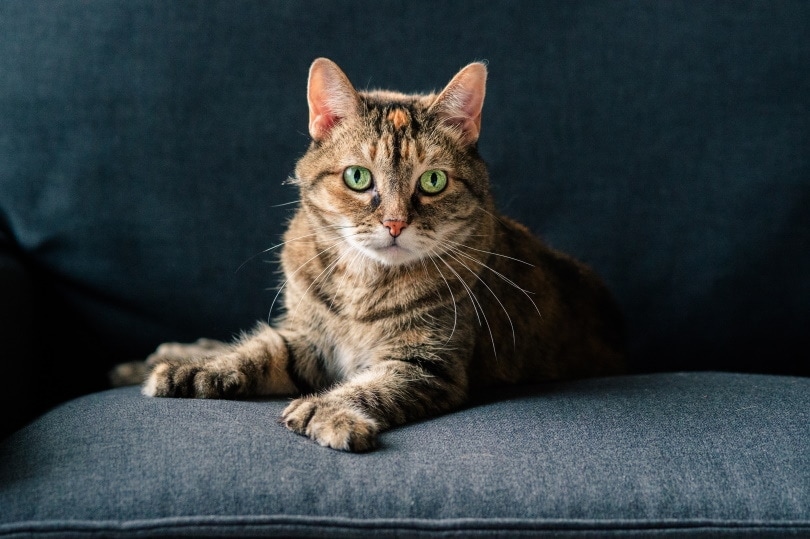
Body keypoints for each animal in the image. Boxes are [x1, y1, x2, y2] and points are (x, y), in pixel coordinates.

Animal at [113, 58, 620, 452]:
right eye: (358, 177)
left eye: (433, 180)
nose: (394, 223)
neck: (364, 282)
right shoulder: (307, 338)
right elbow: (258, 353)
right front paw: (194, 370)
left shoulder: (427, 364)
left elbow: (370, 387)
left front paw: (328, 412)